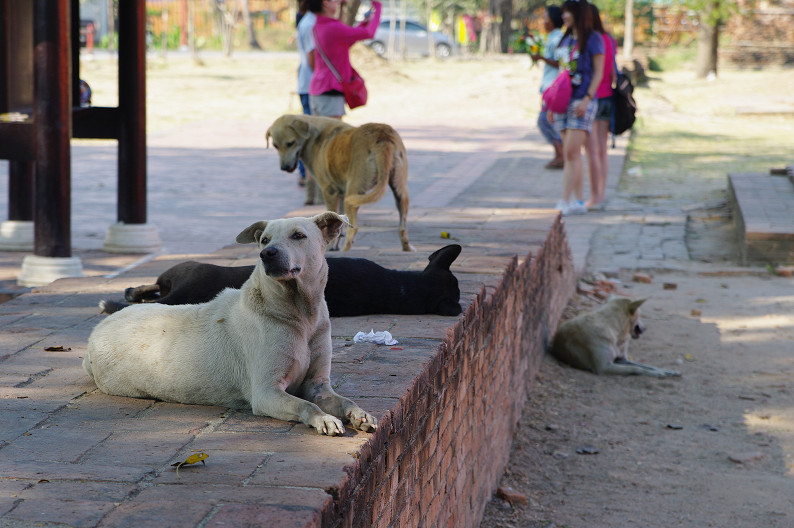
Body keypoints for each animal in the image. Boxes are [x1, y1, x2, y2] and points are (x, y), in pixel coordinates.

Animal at [83, 212, 378, 436]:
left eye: (298, 236)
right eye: (264, 239)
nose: (267, 253)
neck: (299, 315)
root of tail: (95, 334)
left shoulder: (318, 385)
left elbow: (344, 400)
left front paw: (359, 414)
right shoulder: (267, 393)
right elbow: (306, 406)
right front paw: (323, 419)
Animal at [268, 113, 414, 252]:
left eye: (290, 143)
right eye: (275, 146)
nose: (284, 168)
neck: (314, 135)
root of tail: (382, 134)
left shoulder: (329, 191)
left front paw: (330, 247)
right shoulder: (342, 193)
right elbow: (340, 225)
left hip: (353, 192)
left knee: (354, 228)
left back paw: (345, 250)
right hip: (400, 191)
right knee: (402, 226)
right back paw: (406, 247)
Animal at [548, 294, 676, 378]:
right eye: (640, 314)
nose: (645, 329)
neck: (614, 330)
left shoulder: (622, 360)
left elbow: (647, 365)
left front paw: (667, 371)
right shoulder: (604, 367)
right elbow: (637, 368)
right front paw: (656, 373)